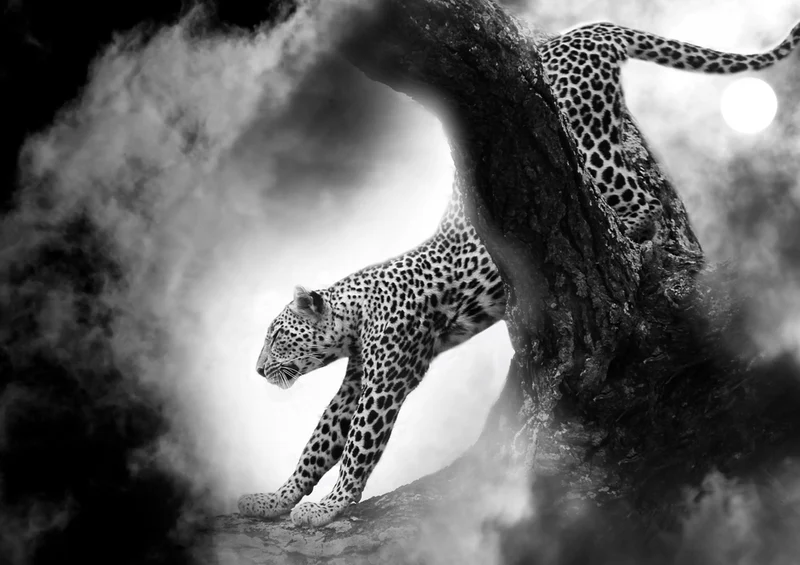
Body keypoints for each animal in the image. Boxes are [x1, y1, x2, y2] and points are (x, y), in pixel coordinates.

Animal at [238, 20, 800, 527]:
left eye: (276, 335)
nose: (259, 371)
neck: (356, 312)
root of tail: (586, 32)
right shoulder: (358, 378)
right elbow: (320, 440)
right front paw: (275, 499)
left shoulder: (386, 378)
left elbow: (357, 444)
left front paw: (329, 507)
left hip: (592, 149)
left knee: (644, 203)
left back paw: (652, 244)